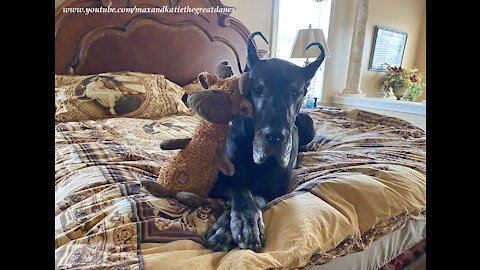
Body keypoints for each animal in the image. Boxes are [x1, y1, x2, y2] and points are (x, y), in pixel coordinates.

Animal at [206, 32, 326, 253]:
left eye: (295, 92)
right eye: (258, 89)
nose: (276, 137)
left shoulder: (277, 189)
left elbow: (256, 196)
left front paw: (231, 226)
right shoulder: (216, 180)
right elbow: (240, 188)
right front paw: (242, 221)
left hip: (309, 121)